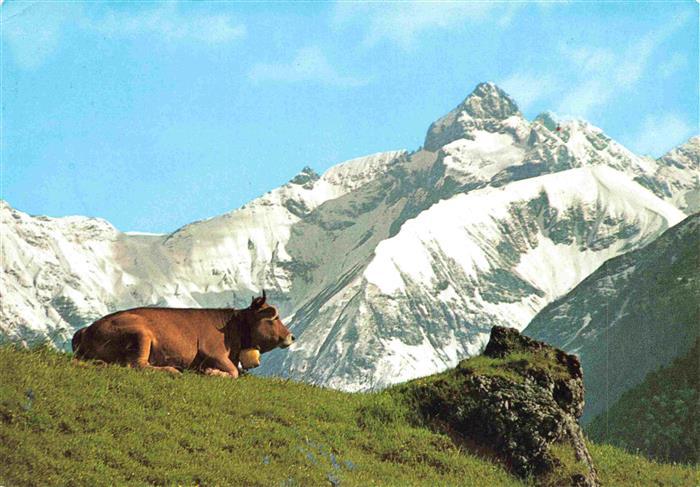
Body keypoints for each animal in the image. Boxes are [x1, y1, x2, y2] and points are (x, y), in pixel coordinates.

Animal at [71, 291, 294, 378]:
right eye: (274, 317)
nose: (291, 336)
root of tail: (87, 329)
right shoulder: (212, 352)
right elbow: (234, 372)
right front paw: (211, 372)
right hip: (140, 334)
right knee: (136, 365)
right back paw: (171, 369)